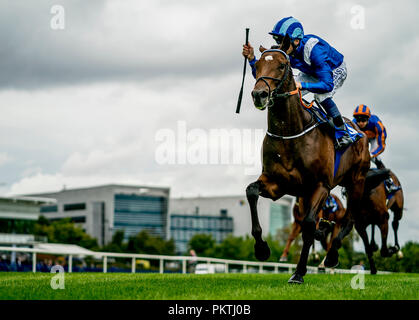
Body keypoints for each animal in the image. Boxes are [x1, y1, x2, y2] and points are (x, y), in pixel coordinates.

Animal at [246, 35, 370, 284]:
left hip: (356, 181)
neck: (290, 132)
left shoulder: (320, 185)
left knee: (349, 219)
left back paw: (331, 257)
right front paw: (262, 249)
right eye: (258, 66)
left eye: (281, 66)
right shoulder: (276, 184)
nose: (259, 95)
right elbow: (251, 191)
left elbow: (310, 224)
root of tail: (359, 130)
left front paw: (298, 273)